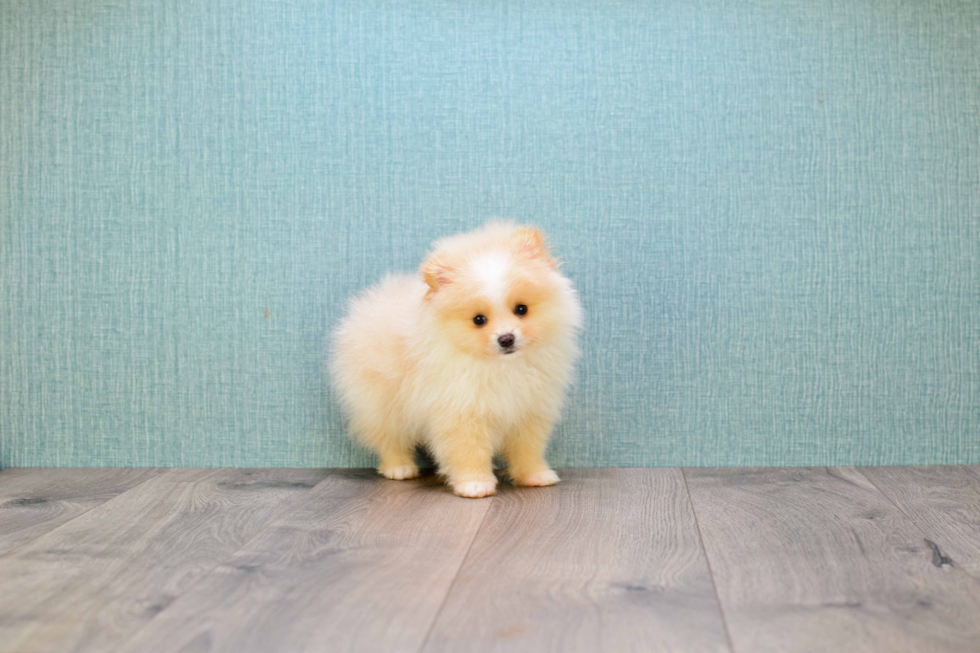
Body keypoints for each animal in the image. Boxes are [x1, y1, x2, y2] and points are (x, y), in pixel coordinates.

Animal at [330, 222, 580, 496]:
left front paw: (535, 475)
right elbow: (468, 450)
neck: (500, 367)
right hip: (380, 403)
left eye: (521, 309)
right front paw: (475, 484)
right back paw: (399, 468)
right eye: (479, 320)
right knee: (389, 438)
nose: (506, 338)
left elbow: (527, 450)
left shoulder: (528, 412)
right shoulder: (460, 412)